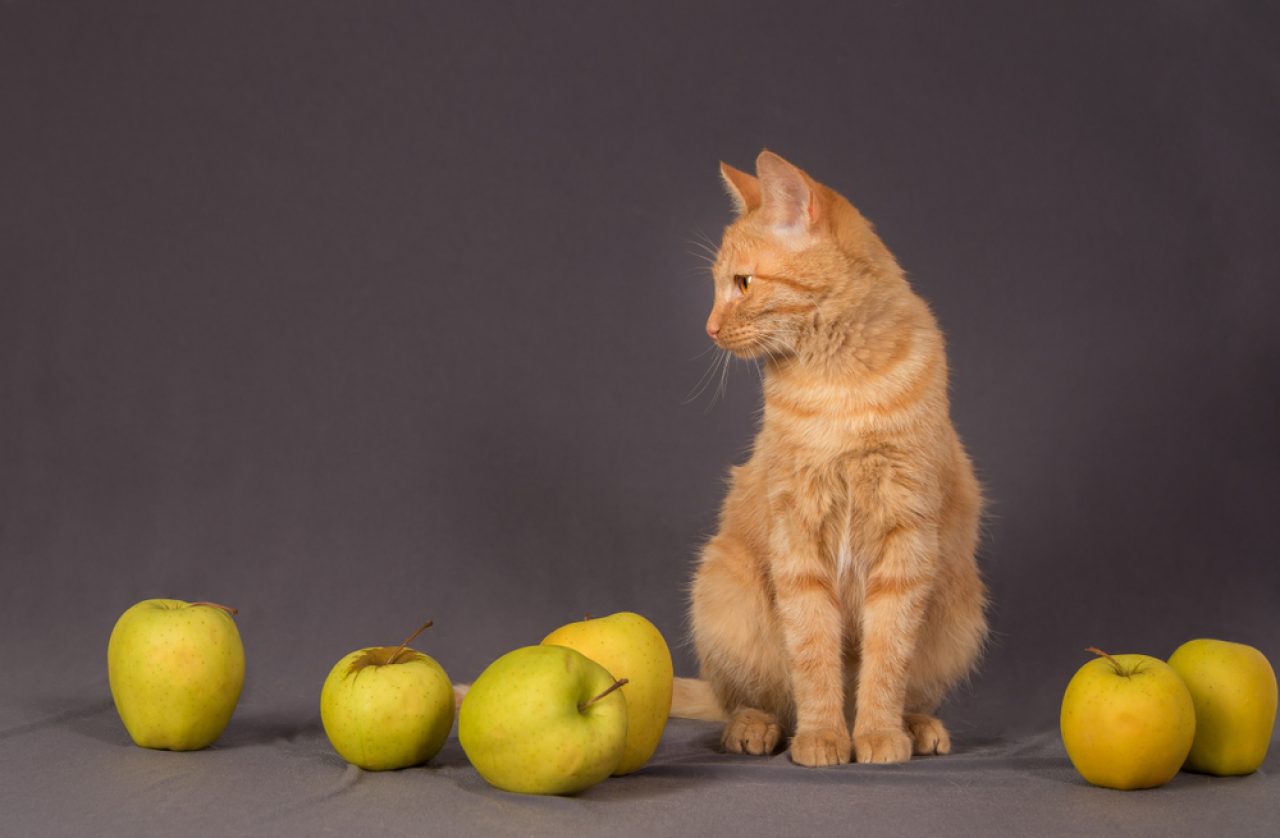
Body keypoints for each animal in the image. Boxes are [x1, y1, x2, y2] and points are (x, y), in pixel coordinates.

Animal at [670, 150, 988, 767]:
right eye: (718, 286)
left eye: (743, 283)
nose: (709, 327)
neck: (840, 387)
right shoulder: (798, 536)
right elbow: (814, 655)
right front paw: (822, 737)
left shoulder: (906, 537)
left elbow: (886, 658)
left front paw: (879, 734)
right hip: (722, 589)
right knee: (748, 699)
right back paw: (755, 728)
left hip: (960, 611)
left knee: (912, 687)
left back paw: (919, 727)